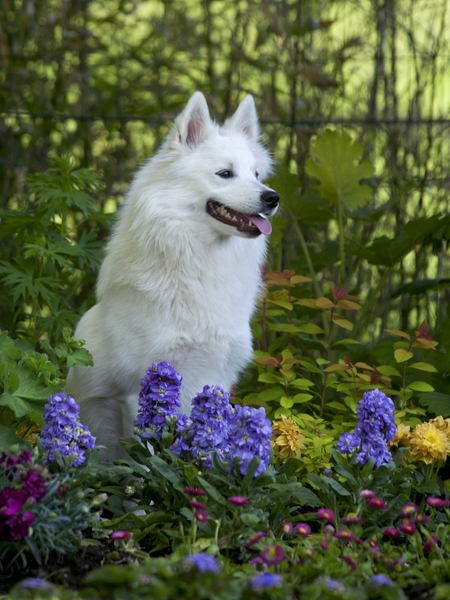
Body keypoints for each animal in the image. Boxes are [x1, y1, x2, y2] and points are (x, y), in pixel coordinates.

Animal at [66, 91, 278, 462]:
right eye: (225, 173)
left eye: (255, 174)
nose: (272, 198)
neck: (200, 260)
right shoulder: (142, 389)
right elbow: (149, 461)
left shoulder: (217, 379)